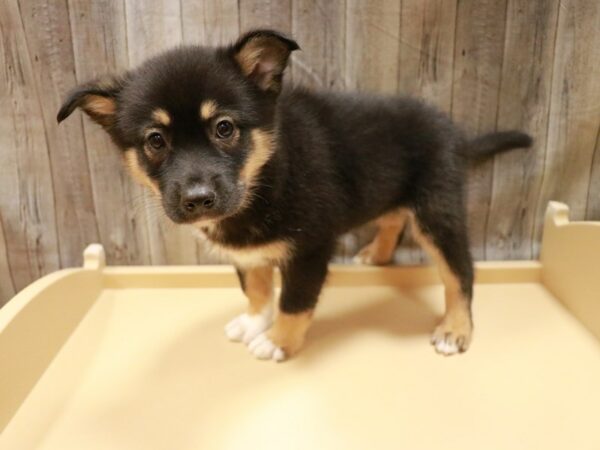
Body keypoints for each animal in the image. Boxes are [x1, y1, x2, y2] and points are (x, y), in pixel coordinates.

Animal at [58, 29, 532, 362]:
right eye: (155, 140)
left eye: (224, 128)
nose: (197, 199)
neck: (266, 176)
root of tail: (455, 134)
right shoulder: (247, 254)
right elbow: (256, 289)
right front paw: (254, 323)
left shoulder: (310, 249)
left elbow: (293, 301)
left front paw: (277, 342)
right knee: (393, 216)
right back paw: (376, 254)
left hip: (438, 209)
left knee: (460, 272)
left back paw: (456, 329)